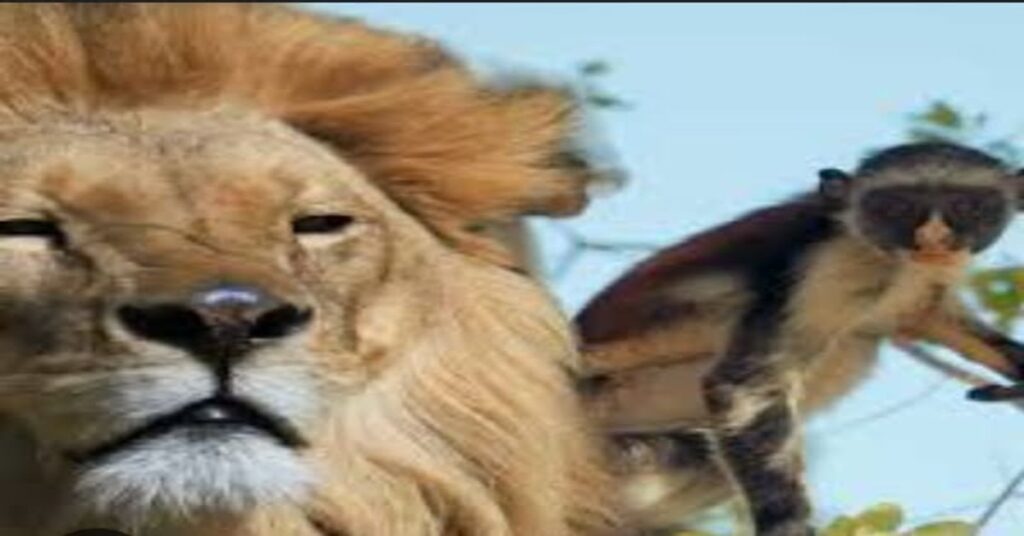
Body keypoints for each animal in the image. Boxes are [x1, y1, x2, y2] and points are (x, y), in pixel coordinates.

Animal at [574, 142, 1024, 536]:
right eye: (897, 207)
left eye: (966, 207)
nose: (934, 237)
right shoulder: (829, 267)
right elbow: (745, 385)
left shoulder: (924, 283)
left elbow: (926, 319)